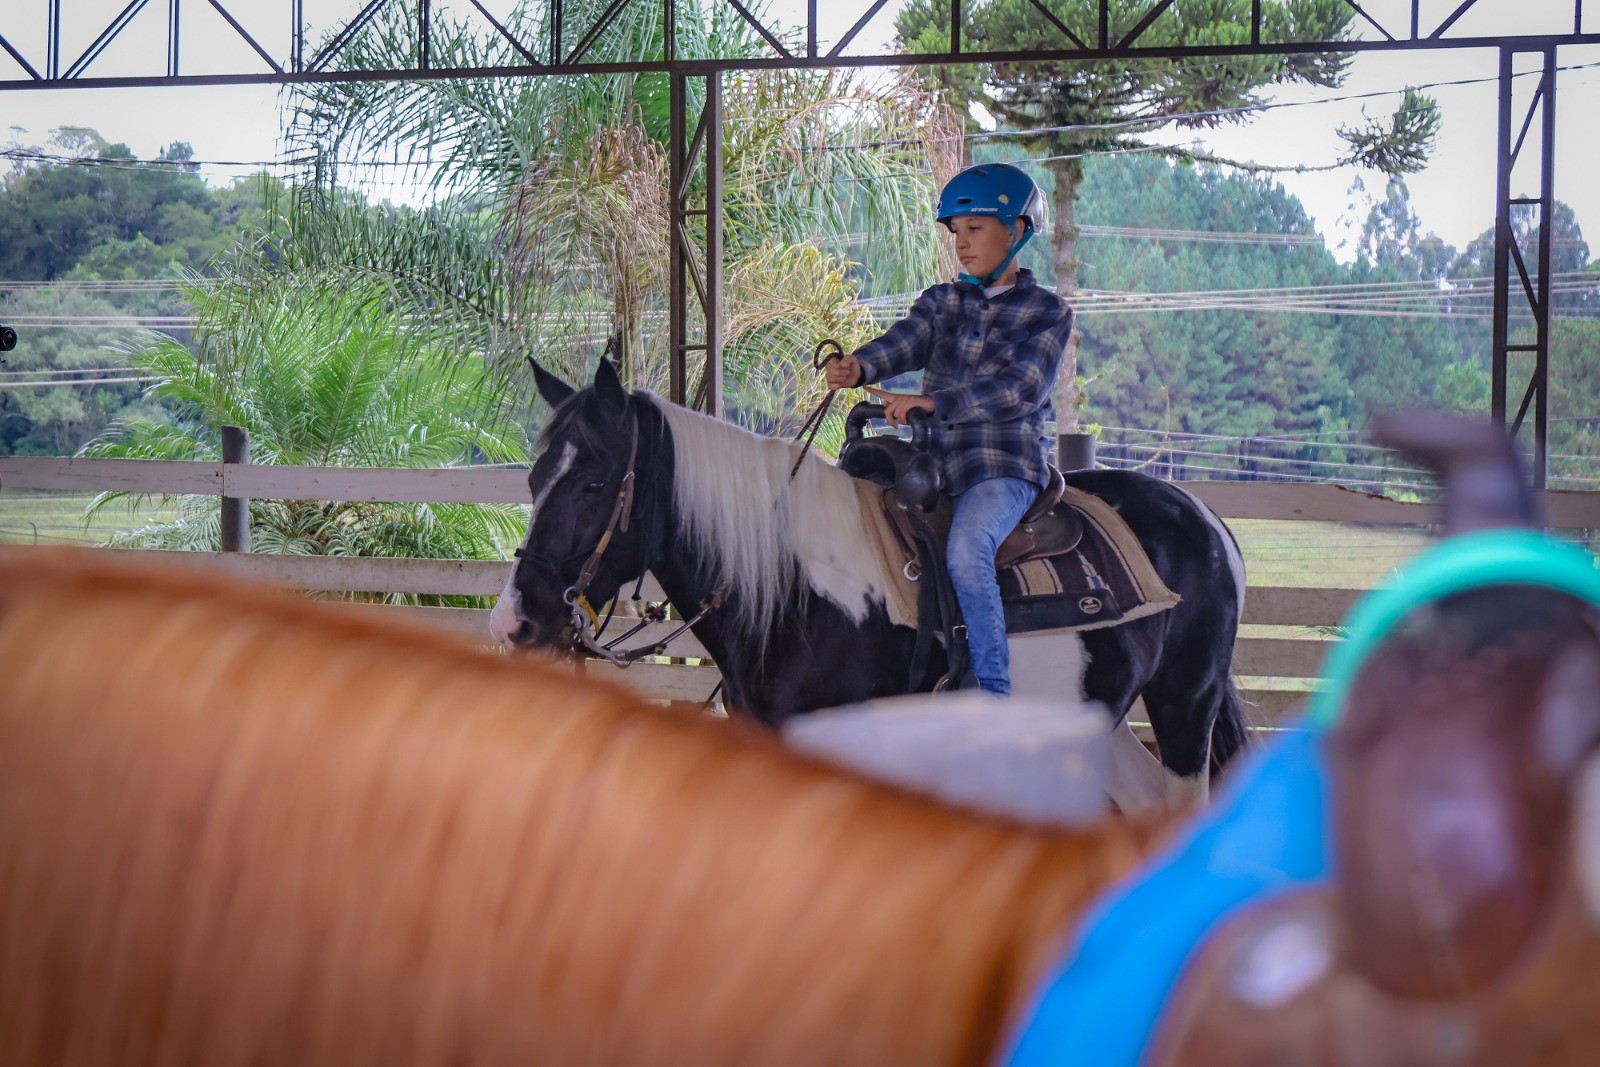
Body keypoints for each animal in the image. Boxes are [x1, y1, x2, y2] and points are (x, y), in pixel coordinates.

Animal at [489, 356, 1250, 813]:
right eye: (533, 478)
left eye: (593, 483)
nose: (514, 619)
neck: (796, 591)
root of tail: (1203, 516)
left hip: (1185, 702)